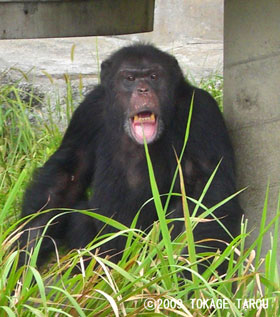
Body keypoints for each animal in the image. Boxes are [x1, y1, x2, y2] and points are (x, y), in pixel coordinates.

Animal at [19, 43, 243, 270]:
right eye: (129, 78)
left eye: (153, 76)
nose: (143, 89)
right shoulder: (87, 113)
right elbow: (64, 181)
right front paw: (24, 256)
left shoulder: (202, 113)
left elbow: (209, 195)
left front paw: (197, 273)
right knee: (80, 214)